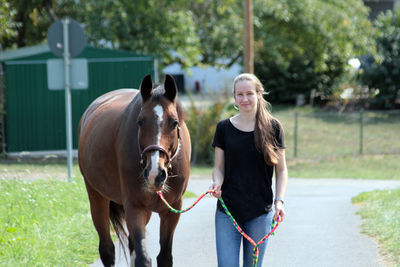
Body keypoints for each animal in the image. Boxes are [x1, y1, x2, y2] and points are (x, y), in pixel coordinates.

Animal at [79, 75, 191, 267]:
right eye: (140, 121)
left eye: (175, 122)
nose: (155, 174)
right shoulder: (134, 206)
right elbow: (143, 258)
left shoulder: (172, 209)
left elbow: (164, 257)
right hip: (97, 197)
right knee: (107, 249)